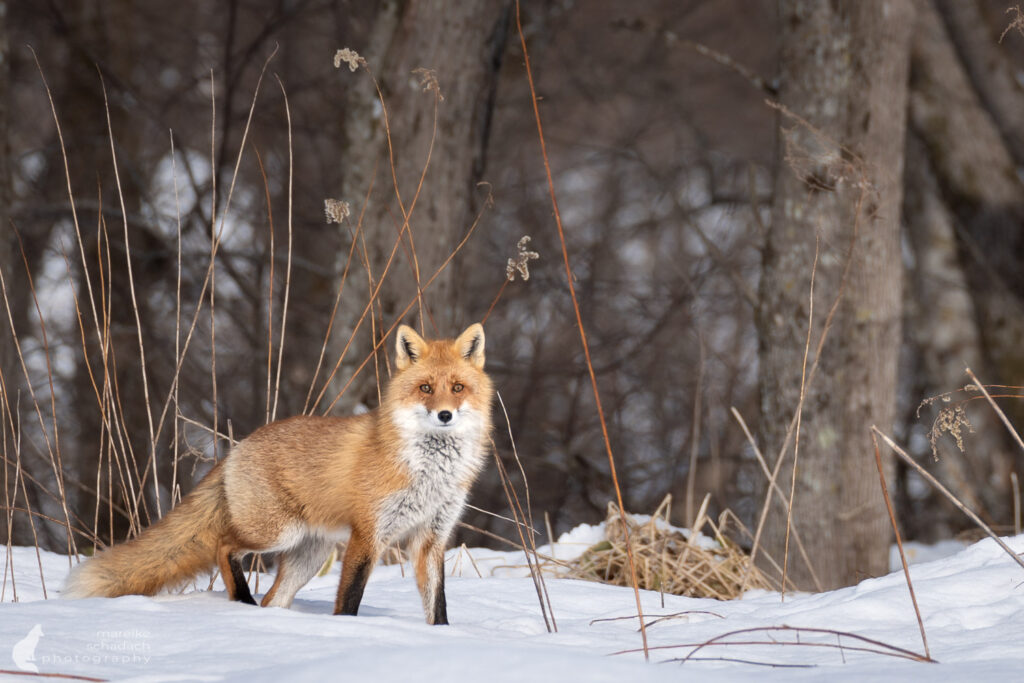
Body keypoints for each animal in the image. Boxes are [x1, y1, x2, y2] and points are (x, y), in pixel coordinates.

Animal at [63, 323, 493, 625]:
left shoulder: (431, 538)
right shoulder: (369, 534)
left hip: (308, 554)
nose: (445, 415)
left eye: (458, 387)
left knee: (274, 598)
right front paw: (348, 633)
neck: (429, 472)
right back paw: (243, 604)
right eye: (425, 388)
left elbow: (438, 608)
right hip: (276, 532)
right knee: (224, 546)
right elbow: (349, 599)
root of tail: (238, 446)